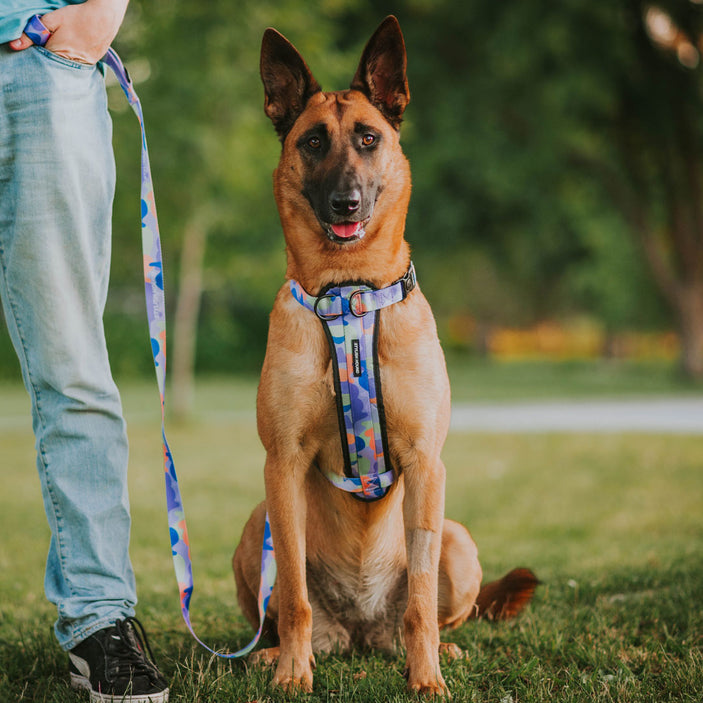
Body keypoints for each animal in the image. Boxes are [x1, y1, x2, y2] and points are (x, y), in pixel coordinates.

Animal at [234, 17, 536, 700]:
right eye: (313, 142)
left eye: (368, 139)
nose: (345, 202)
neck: (349, 292)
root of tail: (360, 632)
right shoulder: (280, 465)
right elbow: (295, 597)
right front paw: (293, 674)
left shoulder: (426, 464)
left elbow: (420, 602)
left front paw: (426, 679)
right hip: (256, 525)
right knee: (286, 610)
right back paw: (274, 655)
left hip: (456, 540)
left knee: (427, 611)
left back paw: (439, 649)